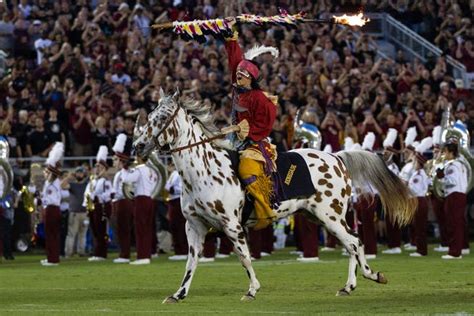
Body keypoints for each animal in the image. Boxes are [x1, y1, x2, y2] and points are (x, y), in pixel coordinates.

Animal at [132, 90, 414, 302]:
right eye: (150, 115)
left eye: (163, 116)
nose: (138, 146)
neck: (204, 170)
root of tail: (337, 158)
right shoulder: (194, 226)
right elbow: (191, 261)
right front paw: (178, 294)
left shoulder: (232, 226)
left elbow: (244, 257)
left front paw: (252, 290)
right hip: (319, 218)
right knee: (351, 244)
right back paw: (350, 286)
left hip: (331, 216)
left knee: (355, 242)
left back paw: (370, 276)